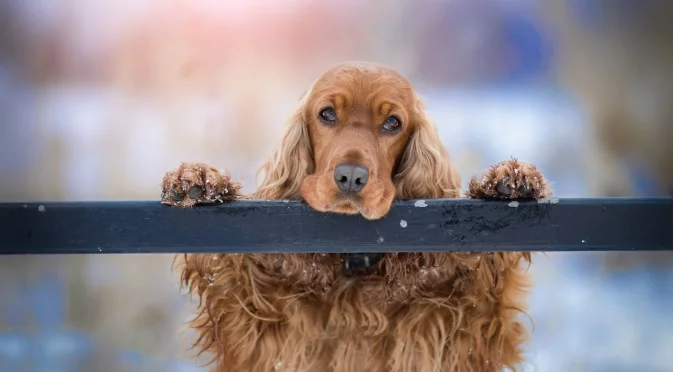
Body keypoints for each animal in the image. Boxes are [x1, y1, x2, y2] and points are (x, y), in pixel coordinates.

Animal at [160, 62, 548, 370]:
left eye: (392, 122)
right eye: (327, 114)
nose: (350, 176)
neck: (355, 264)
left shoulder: (462, 327)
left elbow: (488, 285)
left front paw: (507, 180)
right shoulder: (257, 324)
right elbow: (229, 271)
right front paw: (198, 180)